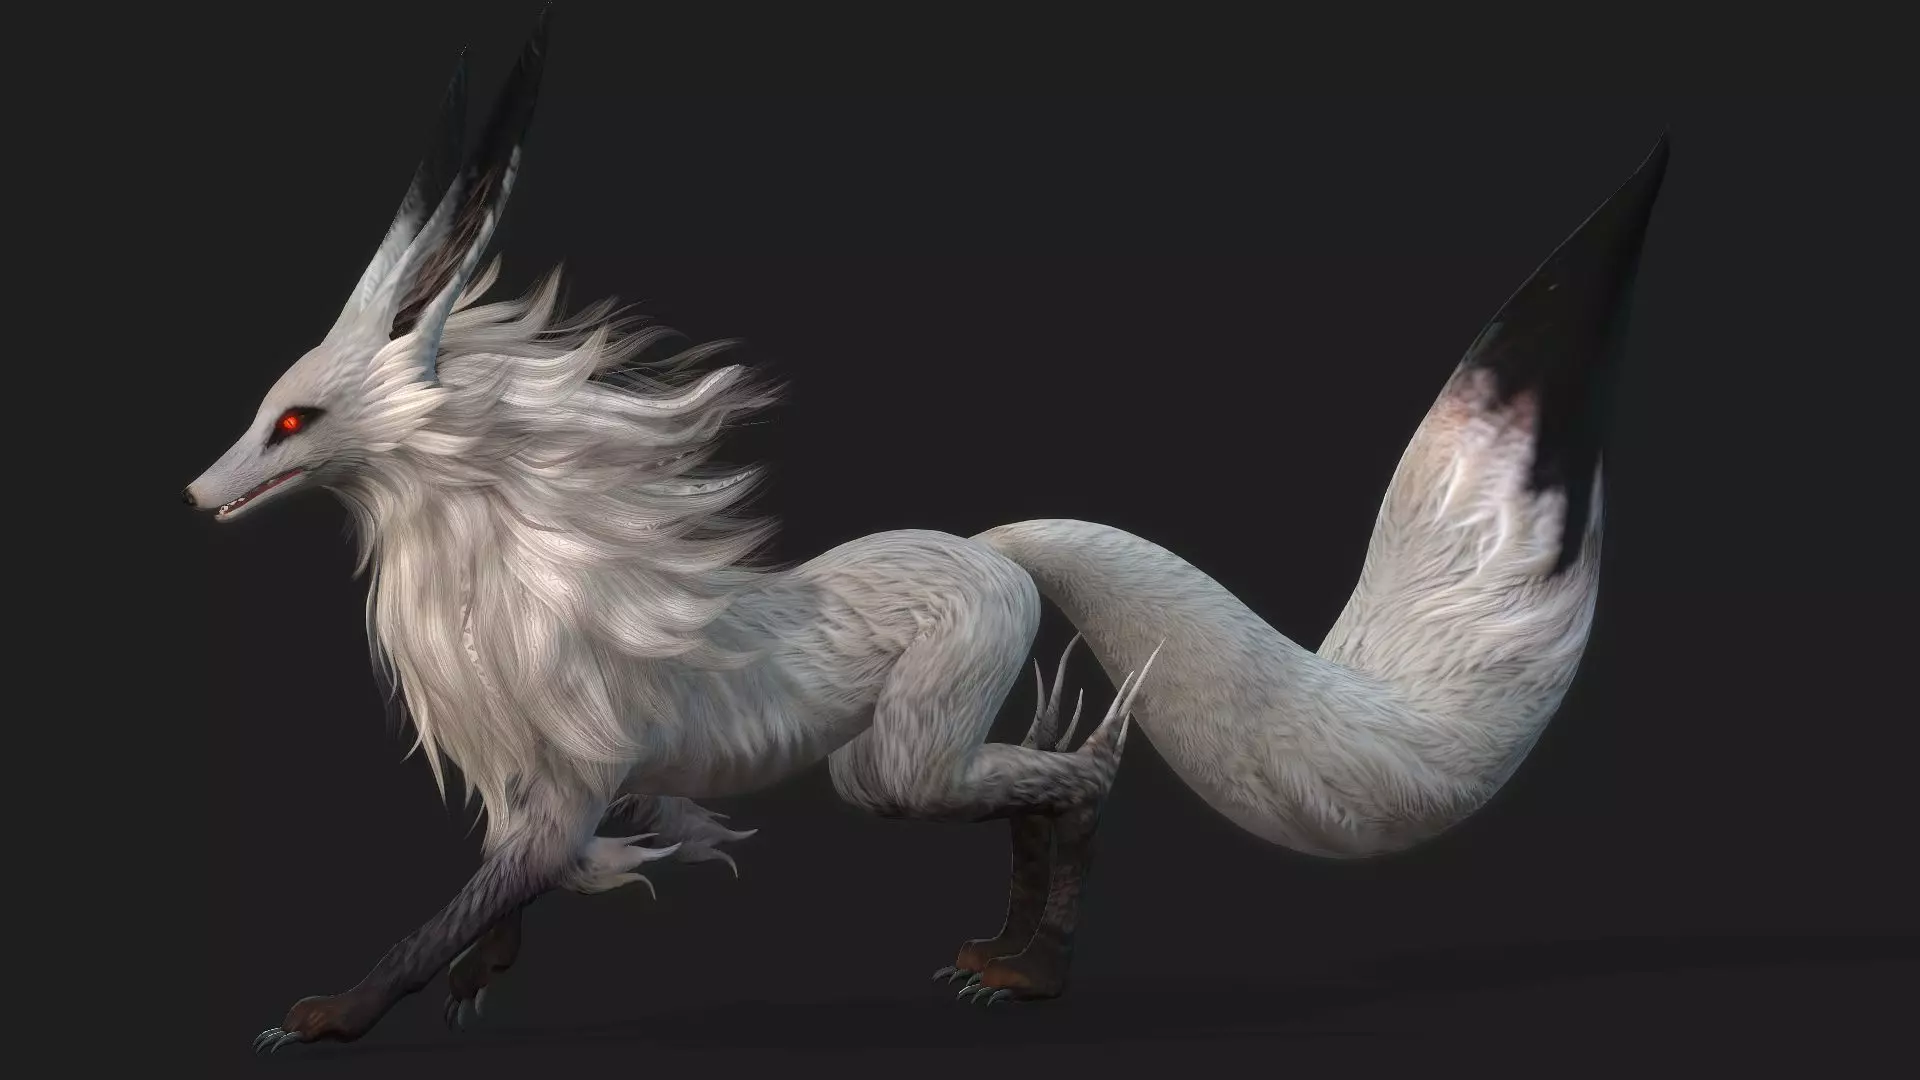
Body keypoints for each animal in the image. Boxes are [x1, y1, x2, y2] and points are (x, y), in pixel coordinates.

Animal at [185, 9, 1668, 1052]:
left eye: (295, 419)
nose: (197, 495)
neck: (522, 584)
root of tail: (995, 546)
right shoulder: (536, 789)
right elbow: (513, 896)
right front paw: (492, 977)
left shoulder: (559, 788)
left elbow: (450, 913)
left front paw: (328, 1018)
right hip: (900, 752)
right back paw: (1010, 961)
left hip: (897, 761)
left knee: (1071, 780)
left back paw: (1032, 971)